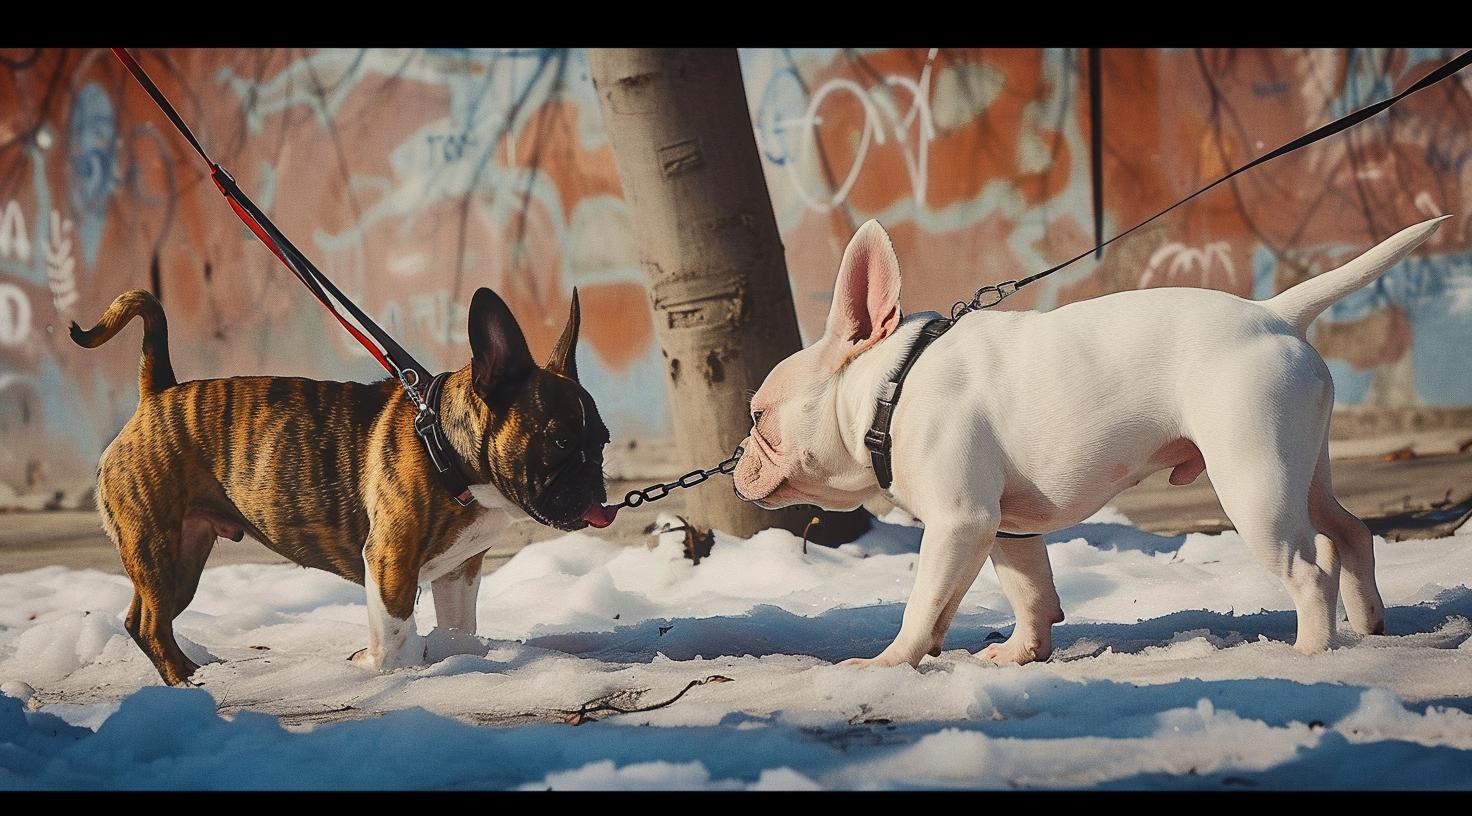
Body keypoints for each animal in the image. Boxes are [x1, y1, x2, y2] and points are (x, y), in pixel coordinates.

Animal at [74, 285, 609, 680]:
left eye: (602, 441)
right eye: (560, 441)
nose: (596, 484)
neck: (445, 450)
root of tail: (156, 392)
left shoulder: (461, 570)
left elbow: (459, 625)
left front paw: (458, 656)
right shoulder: (390, 559)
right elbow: (395, 635)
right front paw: (387, 671)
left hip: (184, 554)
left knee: (146, 620)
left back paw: (198, 671)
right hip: (156, 544)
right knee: (151, 624)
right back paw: (188, 680)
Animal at [736, 212, 1448, 662]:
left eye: (758, 416)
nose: (737, 459)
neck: (890, 388)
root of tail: (1273, 314)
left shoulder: (959, 522)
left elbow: (923, 606)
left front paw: (890, 663)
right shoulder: (1006, 527)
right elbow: (1028, 590)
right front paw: (1020, 654)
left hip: (1255, 483)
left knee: (1309, 567)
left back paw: (1310, 652)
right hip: (1306, 469)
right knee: (1350, 531)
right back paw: (1370, 625)